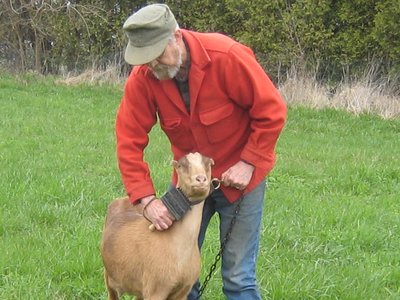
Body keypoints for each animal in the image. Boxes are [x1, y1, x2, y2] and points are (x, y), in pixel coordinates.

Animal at [101, 152, 214, 300]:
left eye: (208, 165)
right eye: (181, 166)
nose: (201, 179)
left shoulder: (183, 290)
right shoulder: (156, 289)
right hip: (109, 278)